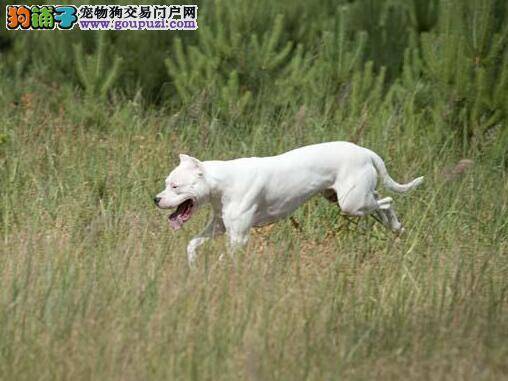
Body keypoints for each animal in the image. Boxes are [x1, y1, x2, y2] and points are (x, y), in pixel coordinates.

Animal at [155, 141, 424, 262]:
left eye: (175, 186)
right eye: (167, 182)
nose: (156, 199)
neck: (221, 182)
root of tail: (366, 151)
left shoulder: (239, 236)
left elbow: (227, 256)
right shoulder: (219, 226)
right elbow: (192, 244)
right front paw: (193, 266)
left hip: (352, 203)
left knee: (387, 201)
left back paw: (396, 226)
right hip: (346, 199)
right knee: (379, 200)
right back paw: (397, 228)